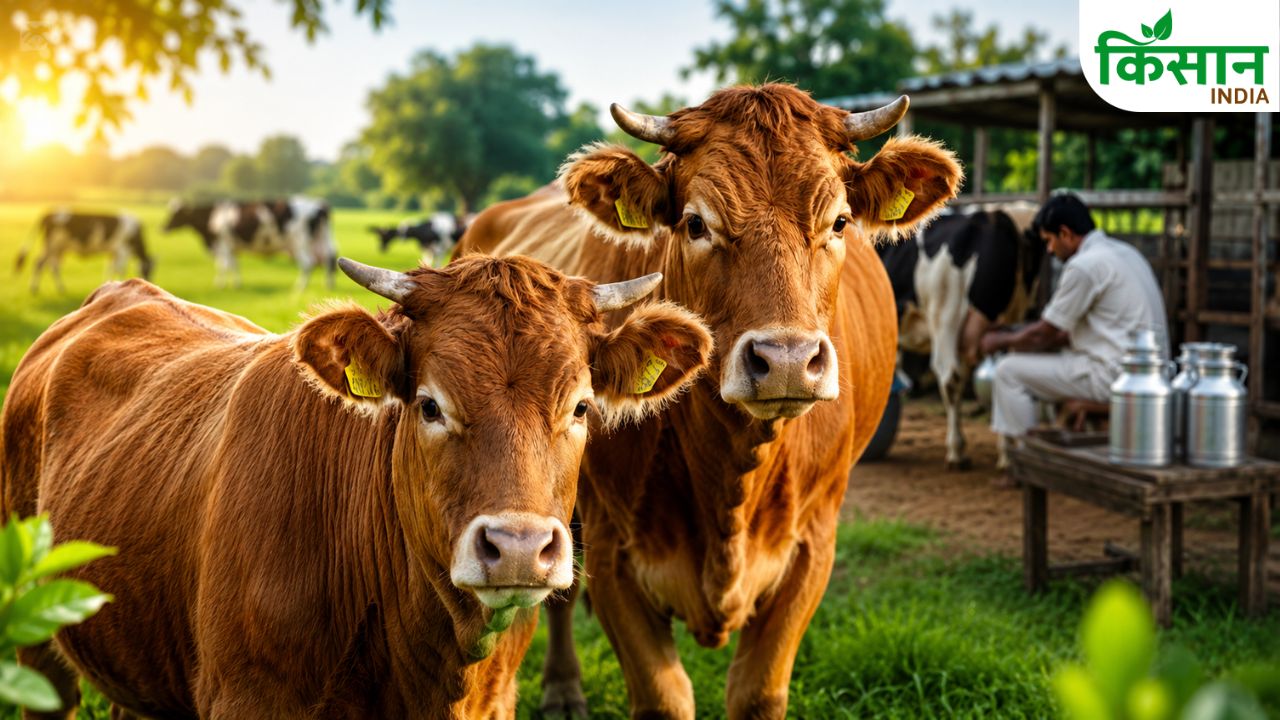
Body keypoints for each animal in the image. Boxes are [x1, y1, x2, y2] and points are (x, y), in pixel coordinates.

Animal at [15, 210, 152, 294]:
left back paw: (60, 288)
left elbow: (110, 268)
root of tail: (48, 213)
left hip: (56, 248)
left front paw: (108, 284)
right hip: (52, 245)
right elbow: (120, 269)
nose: (149, 282)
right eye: (147, 270)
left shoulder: (112, 252)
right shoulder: (122, 249)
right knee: (40, 263)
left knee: (52, 265)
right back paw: (35, 288)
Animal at [164, 197, 338, 289]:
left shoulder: (223, 244)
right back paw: (328, 285)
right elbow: (234, 266)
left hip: (299, 242)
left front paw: (220, 284)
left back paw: (299, 288)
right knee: (328, 259)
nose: (163, 228)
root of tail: (319, 205)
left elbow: (222, 266)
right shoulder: (232, 247)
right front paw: (237, 284)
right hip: (320, 239)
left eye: (176, 214)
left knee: (308, 263)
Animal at [457, 84, 961, 718]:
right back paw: (564, 687)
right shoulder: (612, 550)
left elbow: (757, 691)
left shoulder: (813, 548)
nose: (787, 359)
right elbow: (663, 695)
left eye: (840, 220)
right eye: (697, 224)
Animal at [880, 203, 1044, 470]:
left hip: (945, 315)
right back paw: (1007, 454)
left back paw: (957, 451)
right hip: (1015, 319)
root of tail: (996, 214)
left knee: (950, 378)